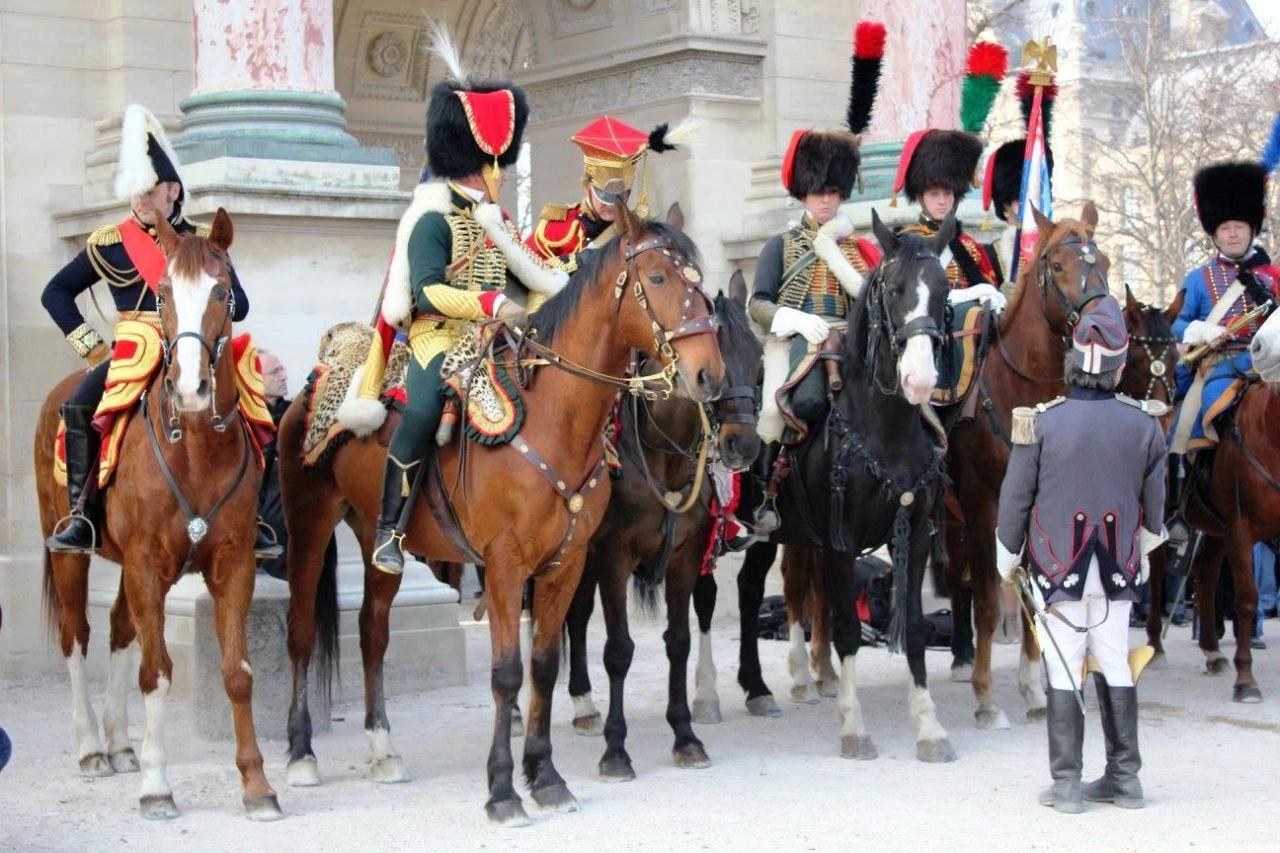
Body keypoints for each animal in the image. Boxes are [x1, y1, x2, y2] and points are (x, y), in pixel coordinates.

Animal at [33, 207, 280, 819]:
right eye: (163, 293)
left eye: (223, 291)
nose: (190, 389)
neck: (193, 445)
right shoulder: (148, 564)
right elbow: (157, 673)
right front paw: (156, 785)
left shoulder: (232, 563)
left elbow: (236, 672)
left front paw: (256, 784)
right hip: (71, 552)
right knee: (77, 637)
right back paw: (91, 748)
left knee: (121, 630)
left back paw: (121, 744)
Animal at [281, 201, 727, 824]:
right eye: (659, 278)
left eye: (701, 283)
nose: (709, 376)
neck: (552, 416)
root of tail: (315, 378)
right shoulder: (506, 565)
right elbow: (507, 673)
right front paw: (501, 788)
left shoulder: (565, 564)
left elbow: (543, 664)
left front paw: (544, 776)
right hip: (309, 525)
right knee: (300, 631)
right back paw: (301, 754)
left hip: (375, 537)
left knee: (373, 631)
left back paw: (383, 747)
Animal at [563, 267, 757, 778]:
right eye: (718, 363)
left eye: (759, 360)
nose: (743, 447)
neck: (659, 453)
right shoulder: (612, 556)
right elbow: (618, 650)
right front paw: (616, 749)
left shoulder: (685, 556)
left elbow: (679, 641)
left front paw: (685, 736)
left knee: (574, 617)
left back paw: (582, 704)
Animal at [737, 208, 957, 753]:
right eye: (895, 289)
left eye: (944, 290)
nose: (920, 379)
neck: (884, 429)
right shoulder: (841, 541)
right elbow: (847, 631)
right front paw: (854, 726)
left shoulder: (915, 534)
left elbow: (914, 628)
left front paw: (928, 726)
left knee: (753, 589)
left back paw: (760, 688)